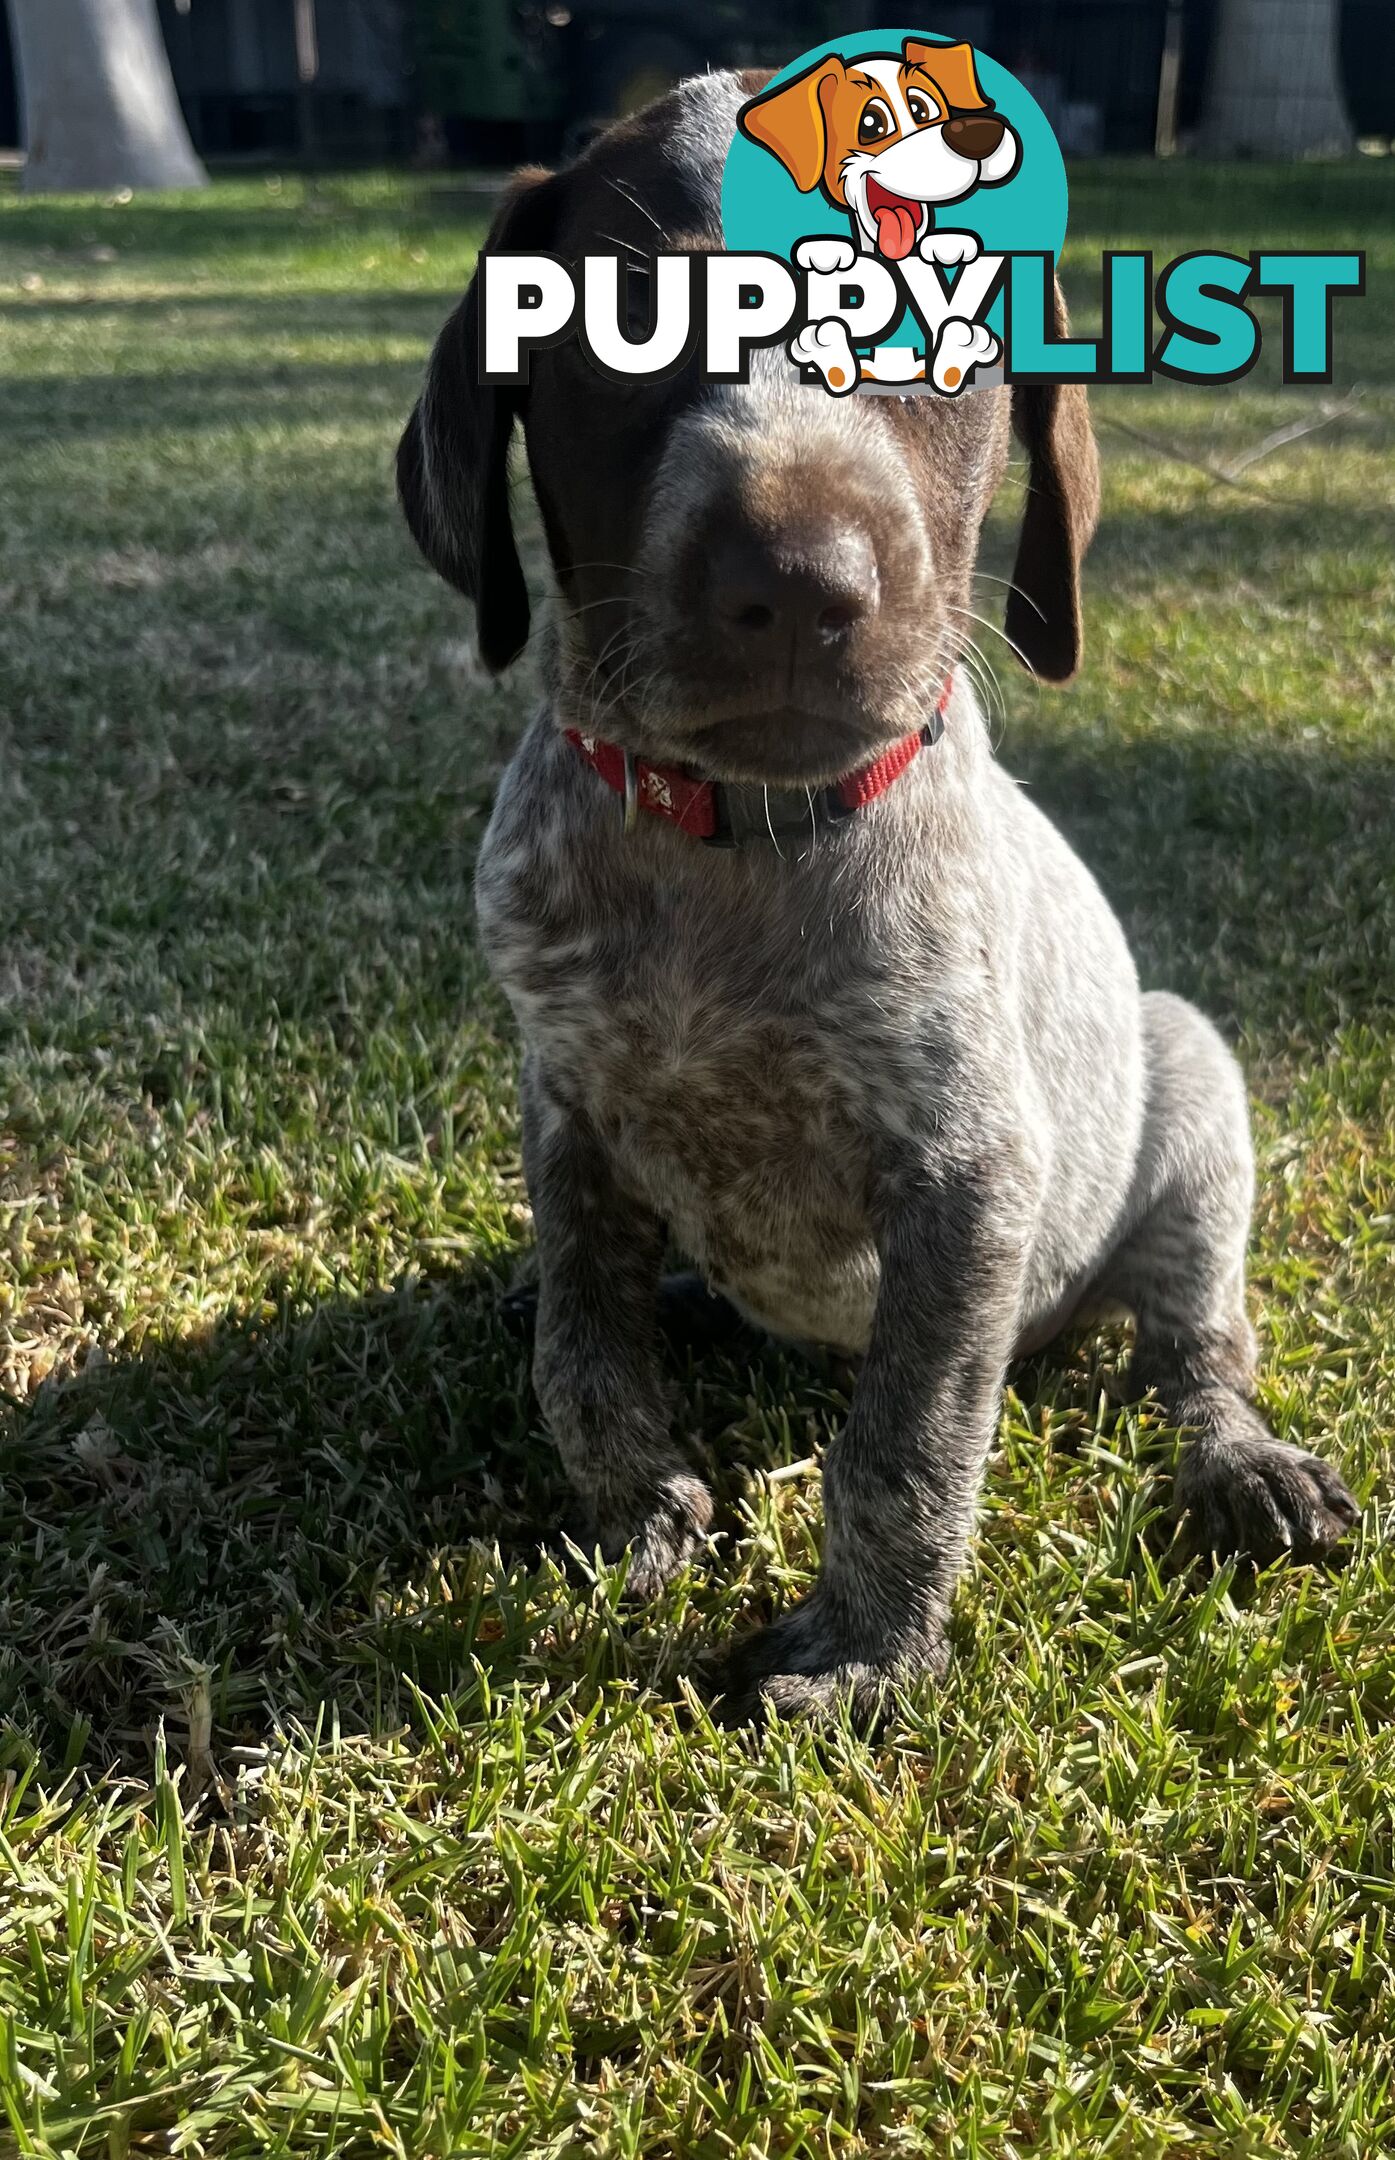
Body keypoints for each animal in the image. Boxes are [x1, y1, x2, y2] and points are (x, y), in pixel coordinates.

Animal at [399, 71, 1364, 1719]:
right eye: (624, 322)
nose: (798, 583)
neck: (727, 847)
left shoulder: (967, 1178)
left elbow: (904, 1448)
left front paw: (864, 1648)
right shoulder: (564, 1104)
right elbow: (583, 1356)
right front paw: (640, 1509)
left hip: (1188, 1090)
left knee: (1195, 1352)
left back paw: (1243, 1464)